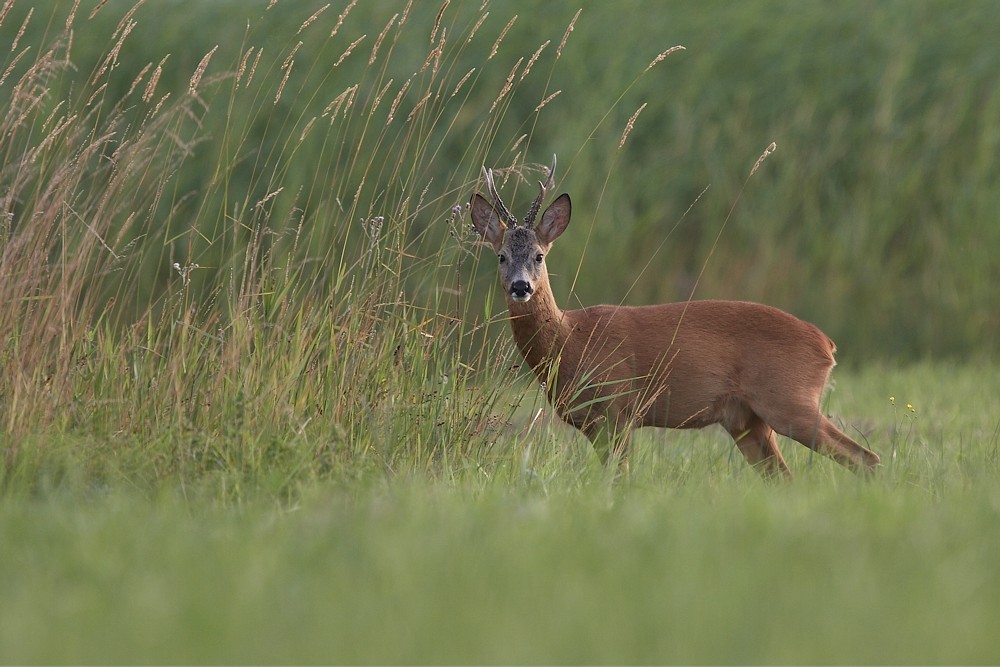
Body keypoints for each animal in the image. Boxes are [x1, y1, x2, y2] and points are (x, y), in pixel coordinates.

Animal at [472, 157, 880, 480]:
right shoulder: (595, 424)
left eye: (539, 255)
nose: (521, 287)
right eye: (501, 256)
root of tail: (826, 345)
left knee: (865, 457)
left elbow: (619, 478)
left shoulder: (618, 409)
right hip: (747, 420)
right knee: (786, 477)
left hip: (788, 400)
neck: (570, 340)